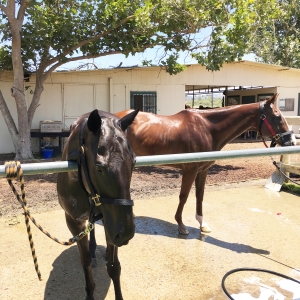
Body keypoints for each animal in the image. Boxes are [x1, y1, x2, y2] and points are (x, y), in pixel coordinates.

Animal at [57, 108, 138, 300]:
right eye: (99, 167)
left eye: (134, 162)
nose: (126, 233)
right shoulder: (74, 222)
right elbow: (85, 260)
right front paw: (90, 291)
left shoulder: (111, 223)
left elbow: (114, 267)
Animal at [115, 95, 296, 236]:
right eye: (277, 116)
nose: (291, 141)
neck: (207, 128)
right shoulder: (190, 170)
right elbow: (183, 196)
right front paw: (181, 226)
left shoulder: (203, 170)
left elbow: (199, 195)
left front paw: (202, 224)